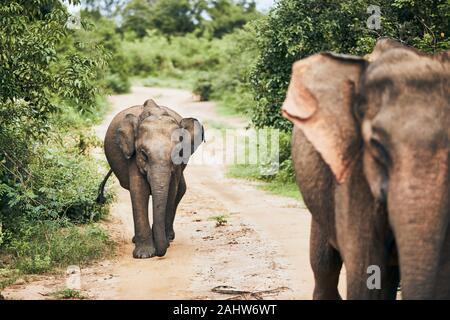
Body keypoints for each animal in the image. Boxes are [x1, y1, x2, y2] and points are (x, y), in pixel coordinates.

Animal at [98, 99, 206, 258]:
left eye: (178, 153)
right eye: (144, 154)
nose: (161, 252)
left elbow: (171, 192)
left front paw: (162, 244)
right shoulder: (133, 157)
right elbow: (139, 191)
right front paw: (144, 255)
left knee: (180, 191)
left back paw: (169, 237)